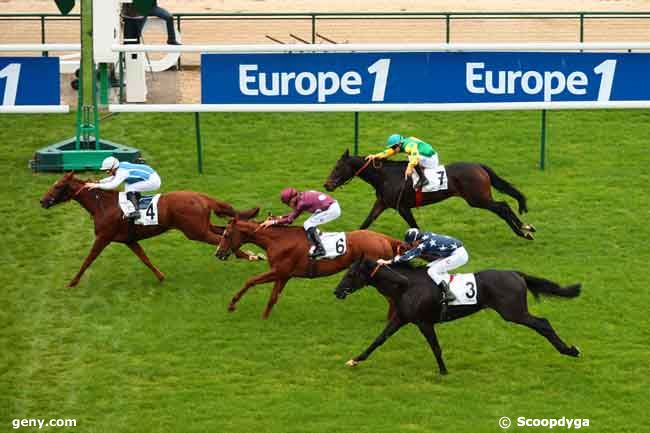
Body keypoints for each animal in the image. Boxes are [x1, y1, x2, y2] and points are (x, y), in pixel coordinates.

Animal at [40, 171, 260, 286]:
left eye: (58, 186)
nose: (42, 201)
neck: (103, 205)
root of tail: (201, 197)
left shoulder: (103, 237)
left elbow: (88, 259)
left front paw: (72, 282)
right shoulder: (130, 240)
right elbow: (144, 258)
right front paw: (161, 277)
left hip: (196, 232)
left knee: (220, 240)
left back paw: (249, 255)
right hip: (202, 226)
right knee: (224, 232)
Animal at [215, 218, 402, 318]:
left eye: (226, 234)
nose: (218, 253)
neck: (278, 240)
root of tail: (385, 239)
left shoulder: (279, 271)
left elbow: (250, 280)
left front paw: (232, 304)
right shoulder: (284, 275)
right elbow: (273, 298)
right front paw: (264, 318)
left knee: (392, 298)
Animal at [322, 150, 536, 240]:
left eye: (338, 167)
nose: (327, 184)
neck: (386, 176)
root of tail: (479, 166)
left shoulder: (402, 207)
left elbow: (415, 226)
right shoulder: (382, 203)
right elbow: (365, 224)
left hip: (477, 199)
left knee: (502, 206)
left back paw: (524, 231)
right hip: (478, 199)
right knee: (503, 207)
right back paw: (524, 230)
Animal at [332, 256, 580, 374]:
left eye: (351, 274)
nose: (337, 291)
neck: (406, 285)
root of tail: (516, 274)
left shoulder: (423, 322)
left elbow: (435, 347)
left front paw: (443, 371)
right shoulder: (401, 318)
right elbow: (378, 340)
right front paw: (355, 359)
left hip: (513, 312)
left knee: (543, 323)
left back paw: (570, 350)